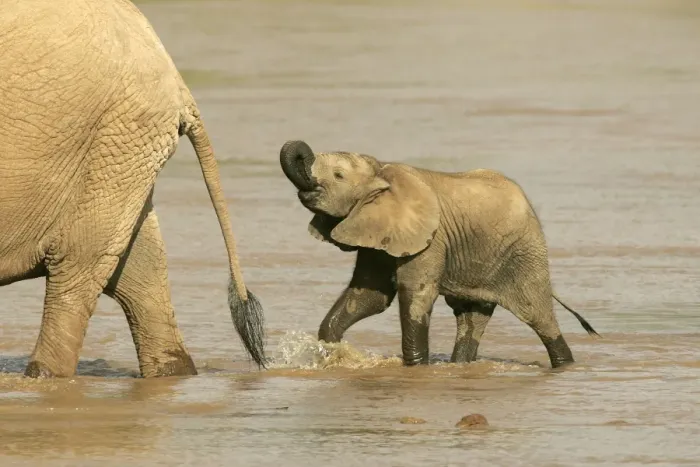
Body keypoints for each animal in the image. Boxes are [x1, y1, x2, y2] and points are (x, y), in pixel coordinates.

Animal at [0, 0, 266, 378]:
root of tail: (177, 79)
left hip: (112, 139)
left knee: (76, 265)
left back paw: (44, 377)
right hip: (120, 149)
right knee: (138, 268)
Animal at [279, 140, 598, 368]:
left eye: (338, 175)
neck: (380, 168)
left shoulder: (431, 239)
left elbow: (415, 294)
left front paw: (416, 366)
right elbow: (370, 295)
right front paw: (331, 349)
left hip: (525, 252)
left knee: (540, 317)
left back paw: (564, 364)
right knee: (471, 317)